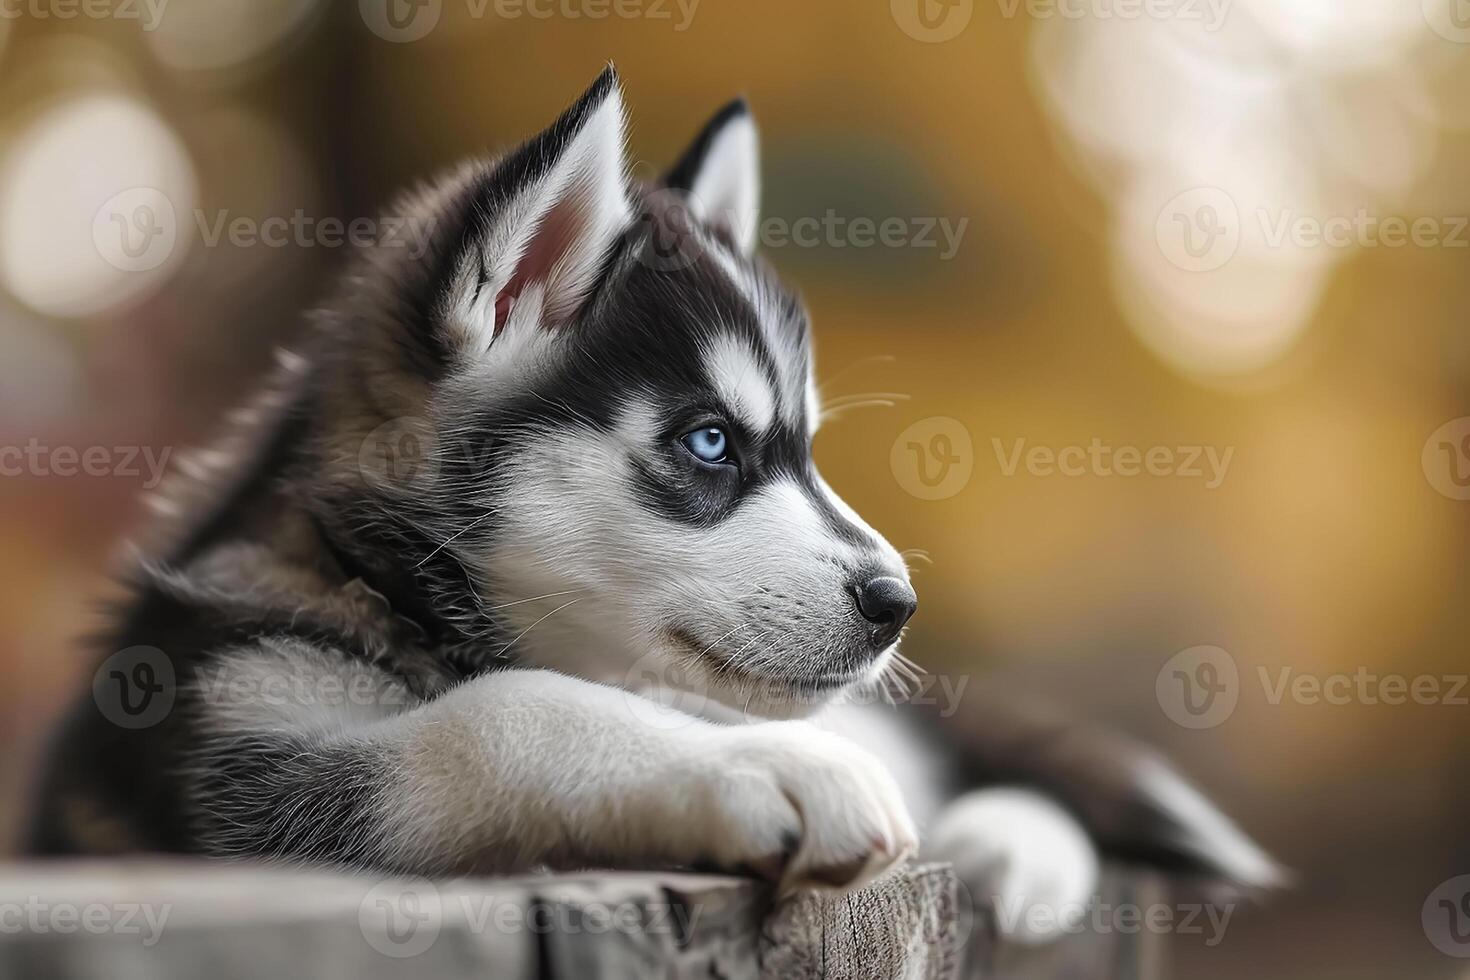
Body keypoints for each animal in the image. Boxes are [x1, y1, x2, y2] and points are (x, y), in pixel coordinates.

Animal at [28, 69, 1281, 940]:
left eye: (805, 448)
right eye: (711, 441)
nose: (896, 602)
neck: (372, 579)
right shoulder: (237, 760)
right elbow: (506, 709)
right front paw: (759, 771)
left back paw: (1009, 845)